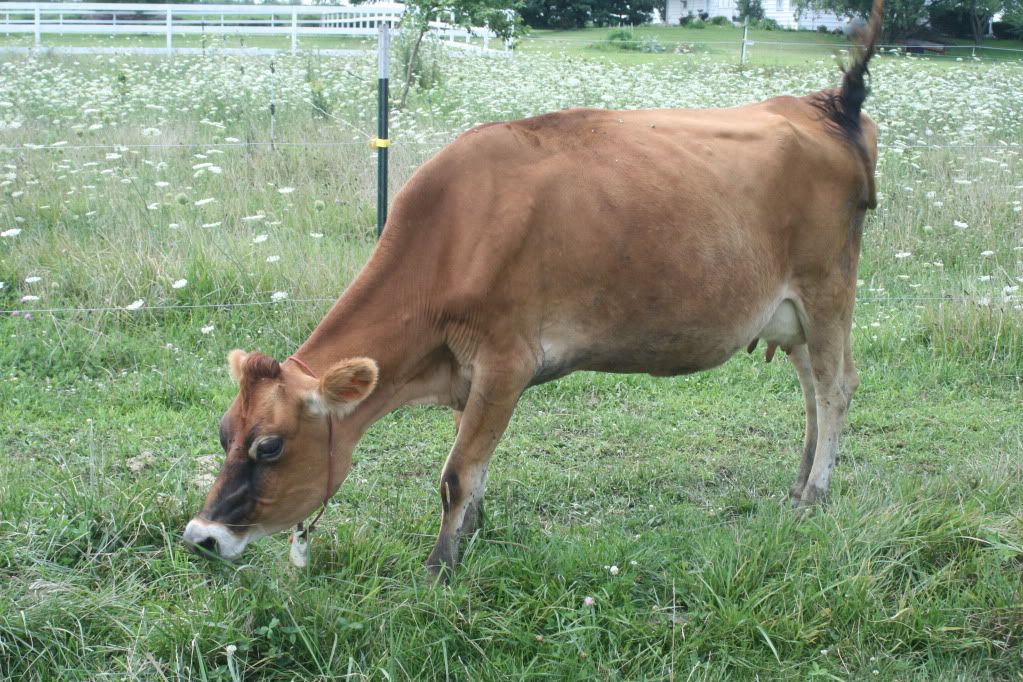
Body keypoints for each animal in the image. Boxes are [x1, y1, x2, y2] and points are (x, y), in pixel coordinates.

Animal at [184, 0, 885, 577]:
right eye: (223, 432)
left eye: (270, 446)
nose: (200, 537)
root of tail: (826, 106)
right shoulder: (473, 373)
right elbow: (476, 470)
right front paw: (473, 533)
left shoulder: (506, 360)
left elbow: (456, 473)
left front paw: (440, 566)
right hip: (789, 312)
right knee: (811, 392)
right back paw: (798, 483)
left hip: (828, 289)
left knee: (837, 386)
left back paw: (815, 494)